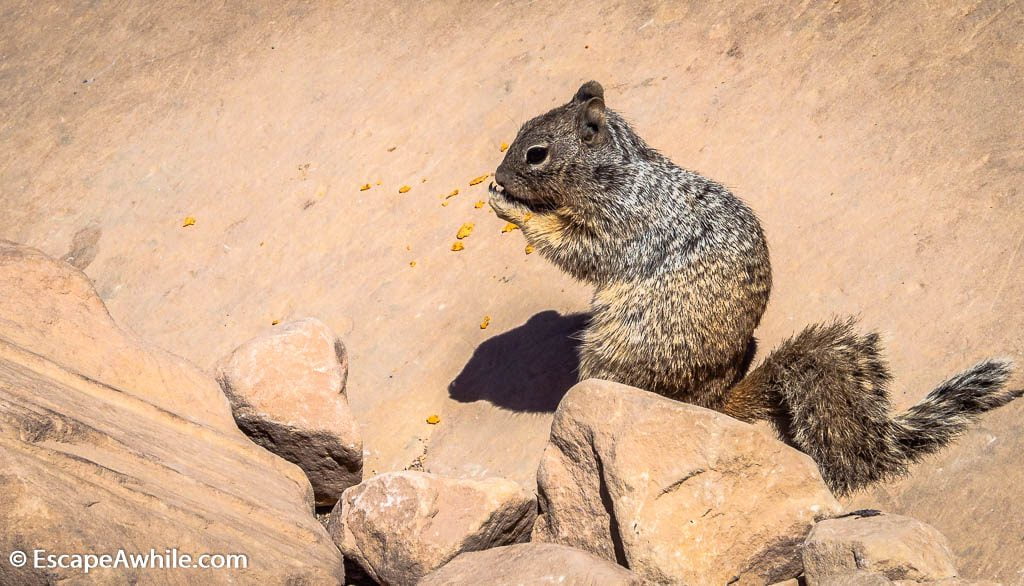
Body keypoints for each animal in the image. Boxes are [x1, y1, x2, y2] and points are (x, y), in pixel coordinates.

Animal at [491, 81, 1019, 493]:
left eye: (536, 153)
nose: (496, 175)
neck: (616, 169)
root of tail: (709, 404)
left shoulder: (619, 221)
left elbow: (574, 247)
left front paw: (508, 206)